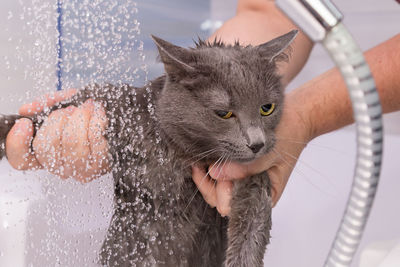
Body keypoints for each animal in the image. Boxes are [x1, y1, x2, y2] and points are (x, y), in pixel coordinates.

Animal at [0, 30, 296, 266]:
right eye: (224, 113)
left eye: (266, 108)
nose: (256, 143)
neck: (180, 154)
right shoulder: (119, 107)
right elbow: (59, 108)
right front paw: (9, 128)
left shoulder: (251, 180)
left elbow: (252, 225)